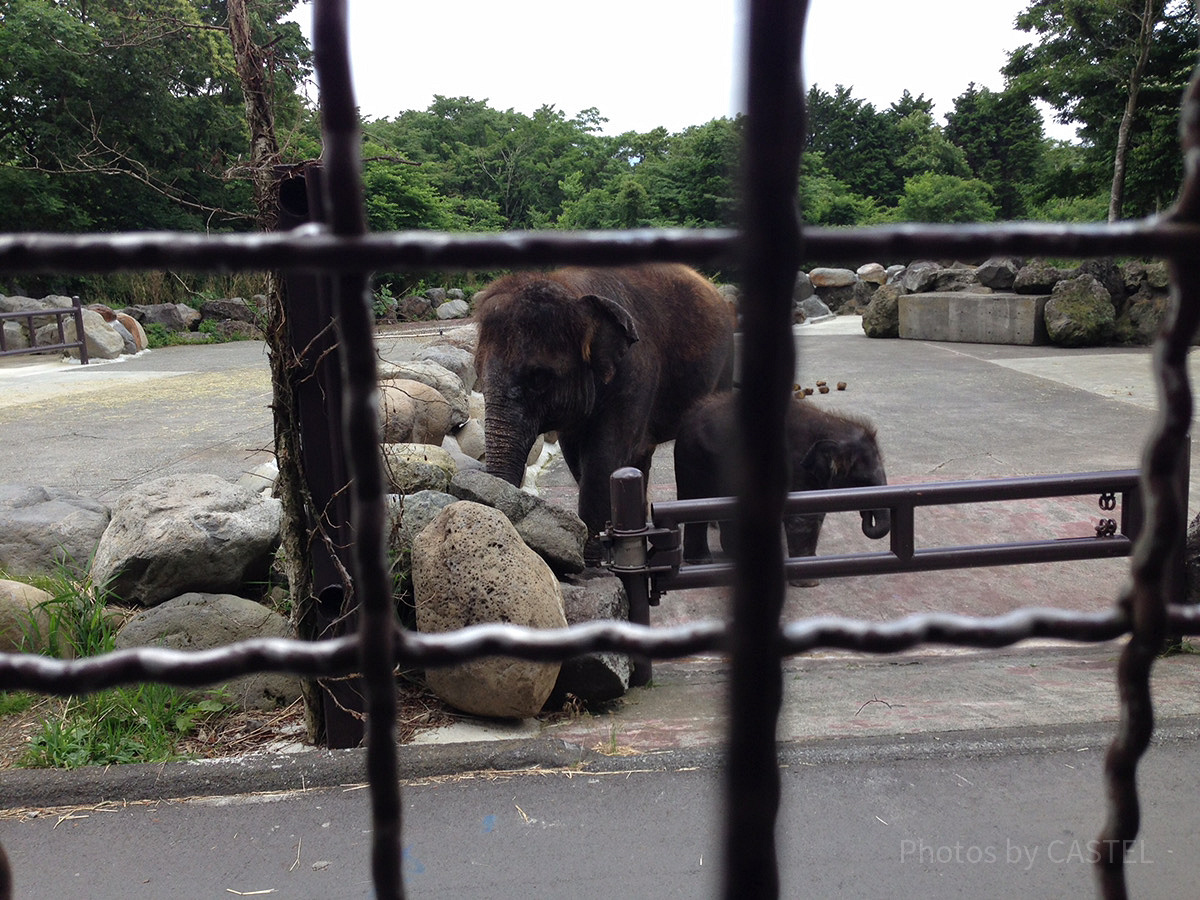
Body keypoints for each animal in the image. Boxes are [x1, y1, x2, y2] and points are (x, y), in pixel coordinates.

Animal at [472, 262, 734, 556]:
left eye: (538, 378)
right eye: (477, 372)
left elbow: (602, 458)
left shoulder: (635, 372)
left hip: (726, 362)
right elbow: (577, 457)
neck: (569, 290)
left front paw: (595, 558)